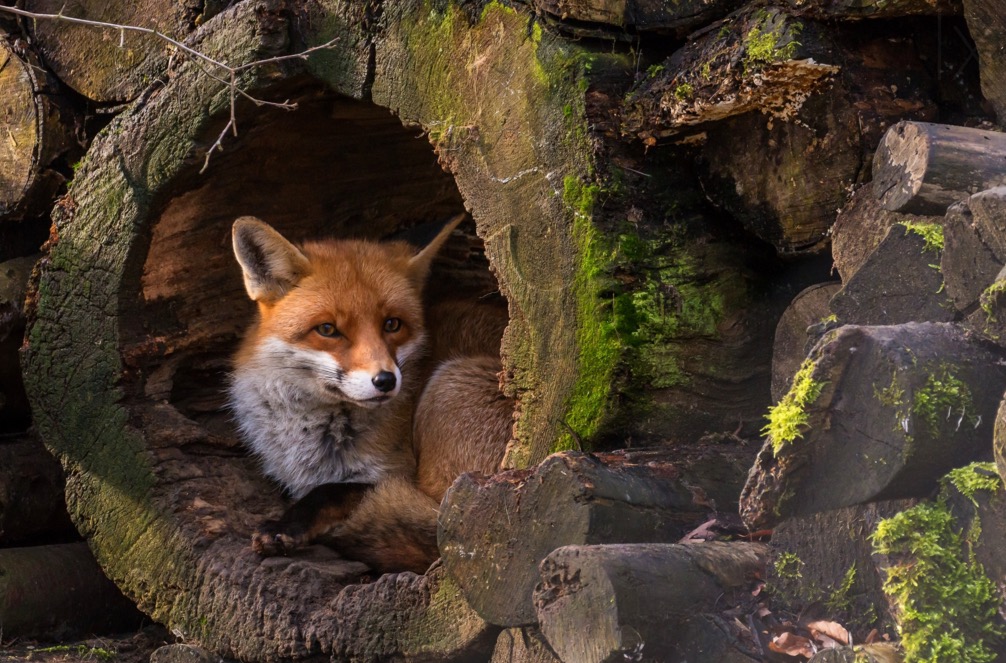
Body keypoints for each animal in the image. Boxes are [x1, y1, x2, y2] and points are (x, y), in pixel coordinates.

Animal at [228, 214, 513, 574]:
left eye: (392, 324)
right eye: (327, 329)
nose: (386, 380)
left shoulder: (395, 474)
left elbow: (332, 491)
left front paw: (285, 525)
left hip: (449, 397)